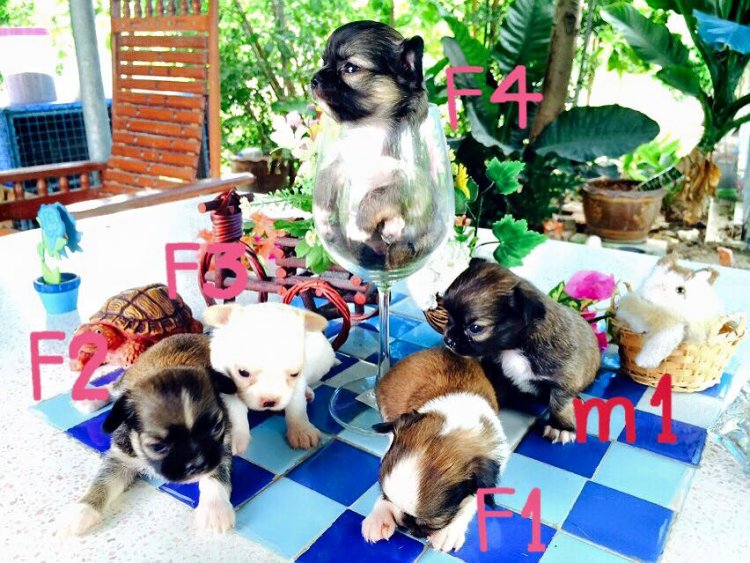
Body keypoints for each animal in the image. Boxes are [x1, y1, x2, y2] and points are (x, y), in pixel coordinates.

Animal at [57, 334, 237, 536]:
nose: (198, 465)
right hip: (127, 379)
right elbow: (102, 482)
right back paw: (90, 399)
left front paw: (215, 509)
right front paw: (82, 510)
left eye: (216, 428)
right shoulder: (120, 458)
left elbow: (215, 475)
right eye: (158, 447)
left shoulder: (221, 447)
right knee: (113, 388)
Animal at [204, 303, 336, 450]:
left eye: (294, 374)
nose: (270, 402)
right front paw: (234, 437)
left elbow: (296, 404)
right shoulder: (226, 382)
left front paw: (301, 430)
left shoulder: (298, 381)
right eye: (243, 373)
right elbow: (234, 410)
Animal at [311, 20, 431, 270]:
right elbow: (326, 177)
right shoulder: (341, 163)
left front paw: (358, 227)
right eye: (324, 61)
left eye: (350, 68)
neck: (369, 127)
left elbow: (375, 196)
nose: (313, 80)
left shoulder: (412, 183)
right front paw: (322, 212)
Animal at [362, 348, 509, 553]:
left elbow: (472, 500)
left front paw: (448, 531)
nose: (404, 525)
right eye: (385, 496)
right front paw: (379, 515)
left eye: (430, 524)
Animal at [442, 259, 600, 444]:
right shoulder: (496, 370)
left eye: (475, 328)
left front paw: (561, 426)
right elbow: (495, 389)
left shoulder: (564, 378)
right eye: (448, 316)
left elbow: (560, 404)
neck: (515, 346)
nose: (448, 340)